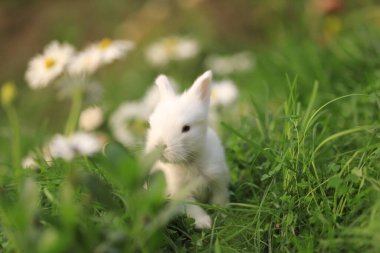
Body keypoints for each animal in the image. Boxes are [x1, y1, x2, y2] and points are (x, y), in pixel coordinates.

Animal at [145, 70, 229, 229]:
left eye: (186, 128)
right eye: (152, 125)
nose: (160, 146)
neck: (190, 162)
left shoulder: (218, 180)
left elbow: (220, 199)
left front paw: (221, 214)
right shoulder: (180, 194)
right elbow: (193, 208)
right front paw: (204, 223)